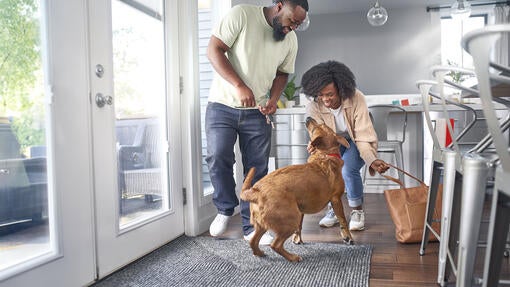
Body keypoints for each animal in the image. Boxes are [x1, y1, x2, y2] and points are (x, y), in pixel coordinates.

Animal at [240, 117, 352, 264]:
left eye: (319, 125)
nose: (308, 118)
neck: (324, 155)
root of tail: (256, 191)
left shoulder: (302, 208)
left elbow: (300, 227)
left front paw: (297, 239)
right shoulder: (336, 199)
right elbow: (343, 220)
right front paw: (348, 237)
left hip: (264, 224)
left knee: (253, 242)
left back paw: (260, 253)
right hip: (291, 218)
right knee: (275, 245)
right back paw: (293, 257)